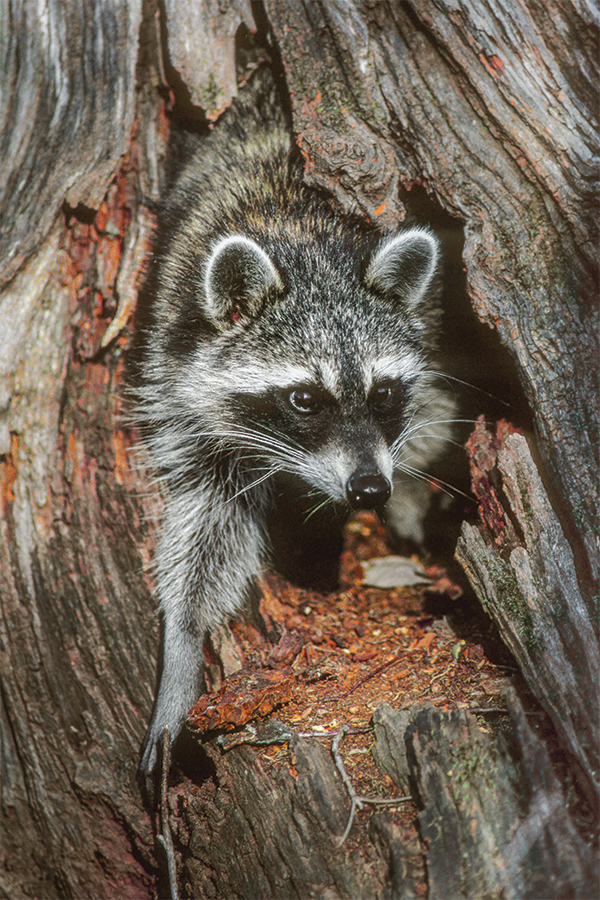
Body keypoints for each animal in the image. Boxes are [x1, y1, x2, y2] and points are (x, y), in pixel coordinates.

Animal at [135, 69, 456, 780]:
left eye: (383, 392)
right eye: (305, 400)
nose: (369, 489)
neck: (310, 249)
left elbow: (431, 420)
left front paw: (409, 491)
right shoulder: (178, 369)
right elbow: (206, 520)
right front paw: (183, 644)